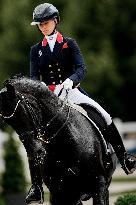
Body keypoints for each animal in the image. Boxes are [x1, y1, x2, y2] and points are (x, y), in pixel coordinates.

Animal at [0, 76, 117, 205]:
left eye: (23, 112)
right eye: (7, 122)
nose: (35, 152)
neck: (65, 143)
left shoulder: (99, 187)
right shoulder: (59, 194)